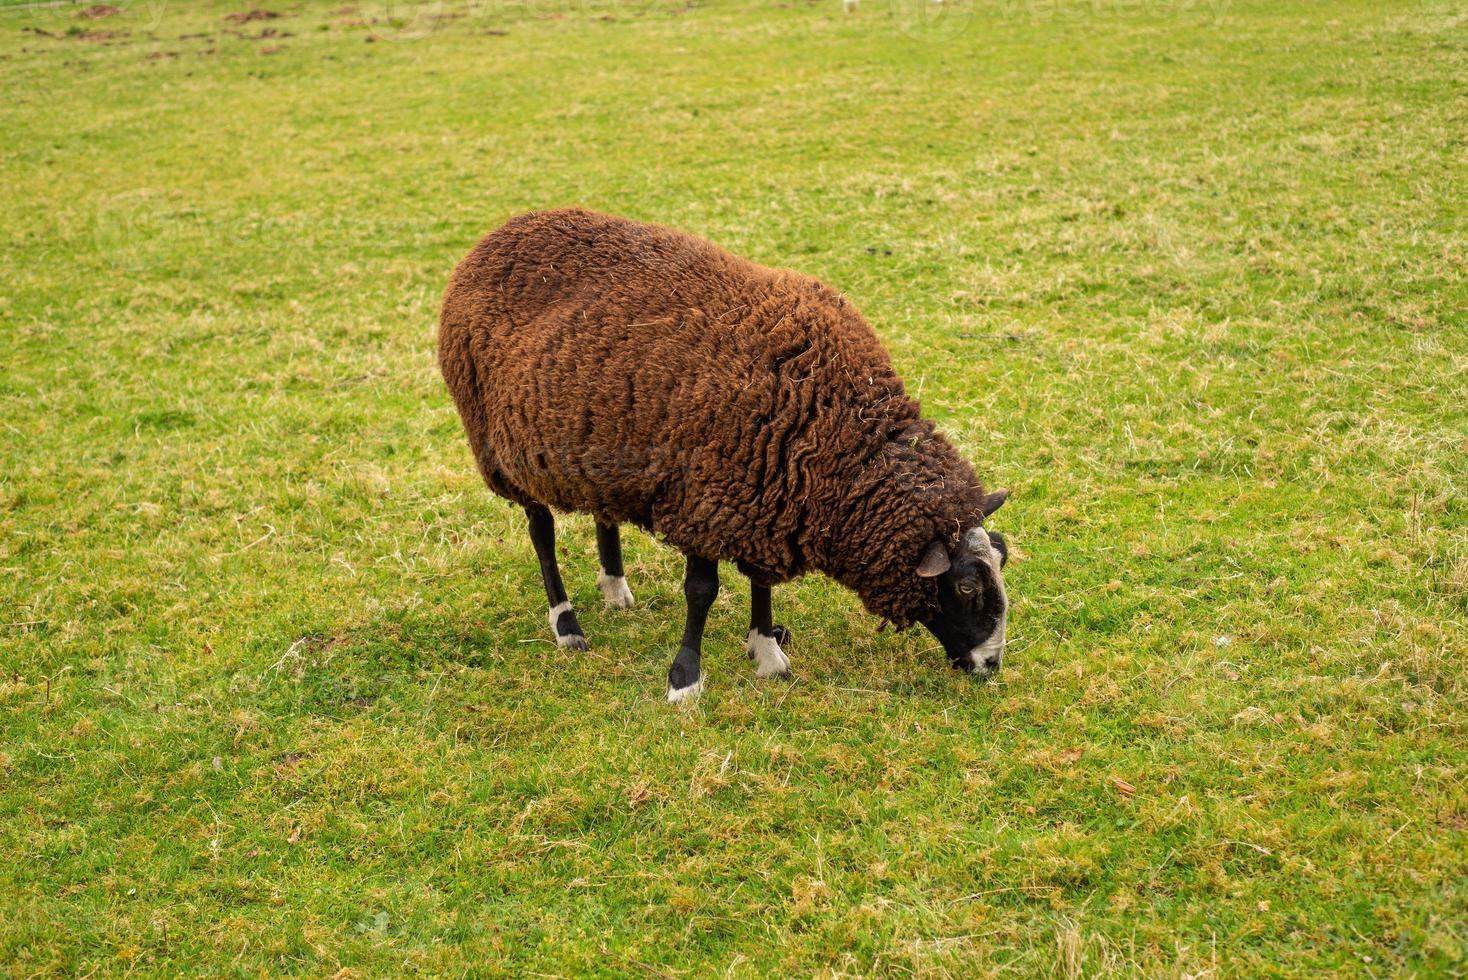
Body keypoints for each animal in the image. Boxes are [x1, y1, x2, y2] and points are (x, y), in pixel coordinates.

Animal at [434, 206, 1009, 701]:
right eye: (965, 587)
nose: (991, 665)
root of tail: (499, 234)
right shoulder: (707, 498)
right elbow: (701, 590)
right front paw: (684, 677)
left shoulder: (767, 495)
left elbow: (759, 580)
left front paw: (768, 652)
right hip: (504, 450)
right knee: (542, 533)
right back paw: (567, 624)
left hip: (603, 441)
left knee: (603, 514)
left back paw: (616, 589)